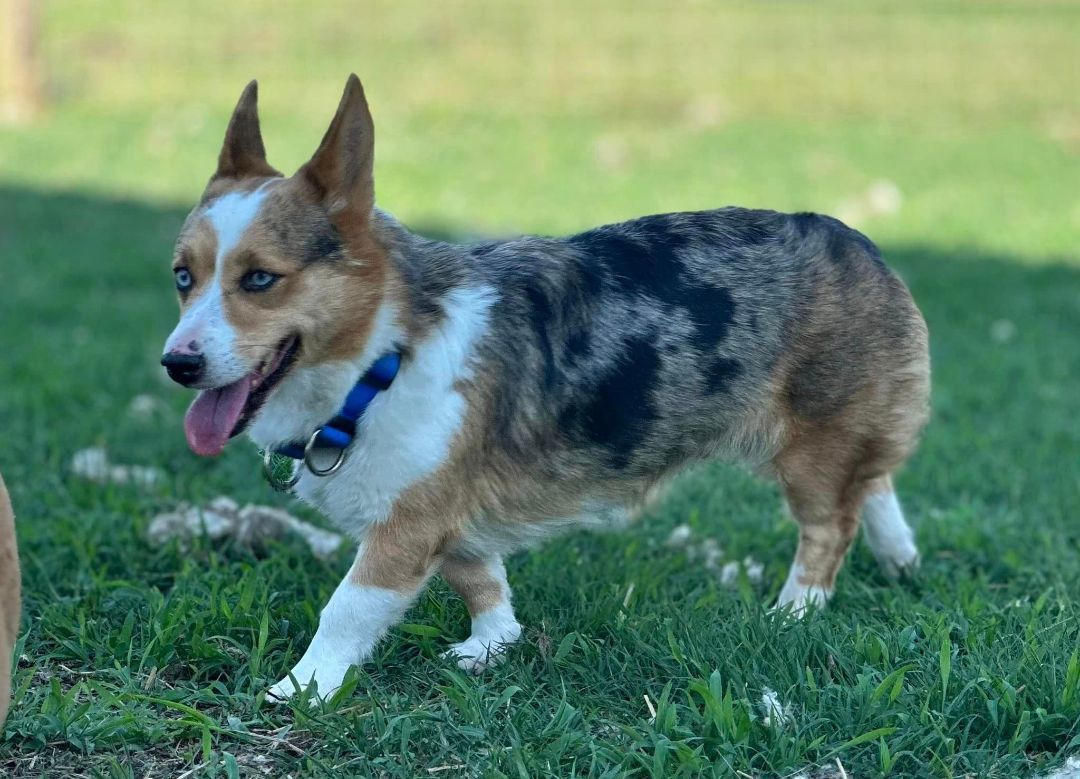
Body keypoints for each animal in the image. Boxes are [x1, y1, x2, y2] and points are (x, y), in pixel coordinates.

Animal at [157, 77, 928, 700]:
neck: (380, 358)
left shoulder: (405, 527)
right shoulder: (447, 515)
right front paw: (491, 645)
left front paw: (300, 688)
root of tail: (863, 245)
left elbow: (346, 608)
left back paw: (794, 610)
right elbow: (481, 579)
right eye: (182, 277)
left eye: (261, 278)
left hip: (812, 447)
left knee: (831, 524)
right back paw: (900, 557)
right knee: (874, 482)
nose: (176, 364)